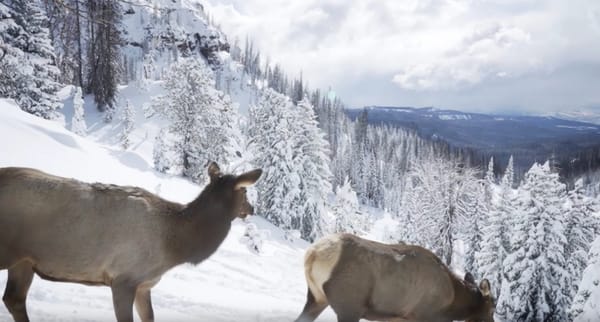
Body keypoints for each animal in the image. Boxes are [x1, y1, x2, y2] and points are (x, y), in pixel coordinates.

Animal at [0, 164, 262, 322]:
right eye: (245, 192)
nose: (252, 208)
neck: (175, 246)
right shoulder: (123, 279)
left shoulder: (144, 285)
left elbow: (150, 317)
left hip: (24, 261)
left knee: (13, 299)